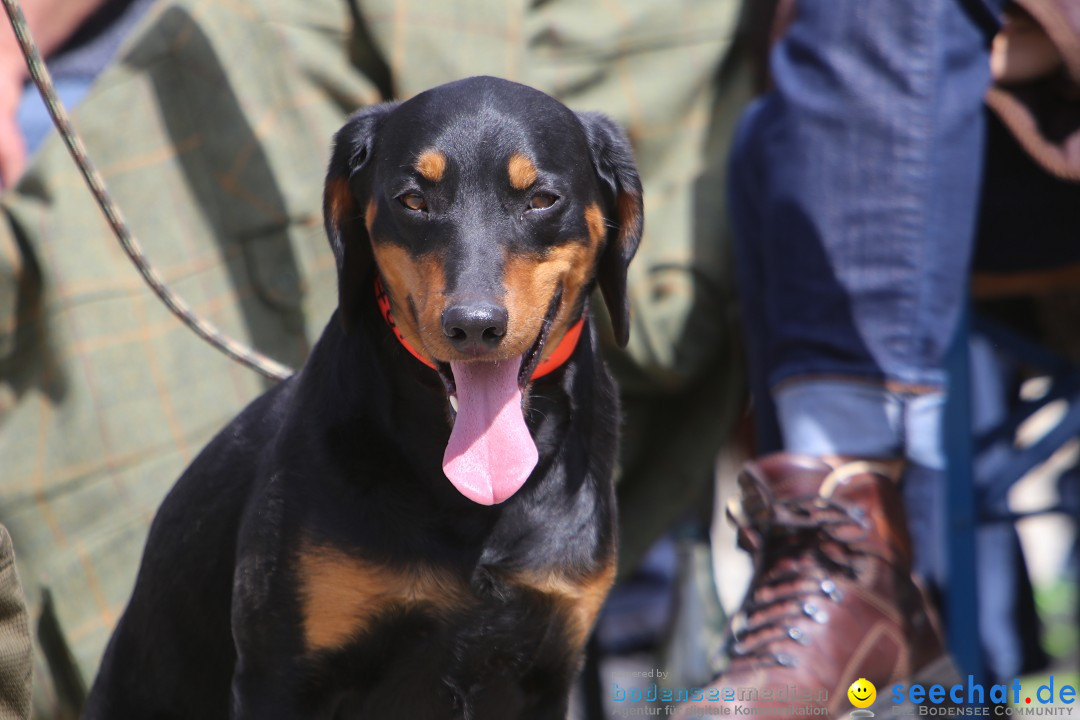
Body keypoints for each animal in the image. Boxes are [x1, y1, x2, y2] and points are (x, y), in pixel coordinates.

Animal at [86, 76, 639, 716]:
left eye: (543, 199)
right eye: (413, 201)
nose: (474, 326)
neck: (472, 503)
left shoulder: (546, 669)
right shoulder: (280, 675)